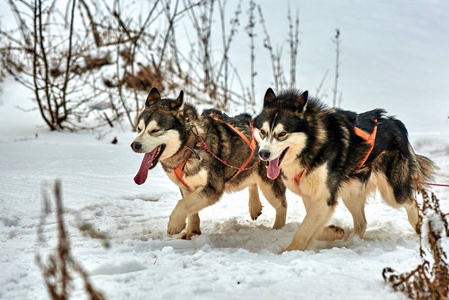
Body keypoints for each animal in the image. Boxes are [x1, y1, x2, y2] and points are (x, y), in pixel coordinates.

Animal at [130, 87, 286, 239]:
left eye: (155, 130)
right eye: (139, 129)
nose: (134, 145)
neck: (191, 145)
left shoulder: (213, 188)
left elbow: (182, 204)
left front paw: (175, 224)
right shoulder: (186, 187)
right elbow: (190, 209)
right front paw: (192, 232)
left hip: (269, 183)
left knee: (282, 205)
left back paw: (278, 229)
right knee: (252, 183)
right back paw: (254, 206)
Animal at [254, 88, 436, 252]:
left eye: (282, 133)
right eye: (263, 132)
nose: (263, 153)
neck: (311, 145)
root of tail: (394, 121)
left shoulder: (324, 197)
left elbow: (303, 230)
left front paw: (288, 252)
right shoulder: (311, 195)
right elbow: (312, 224)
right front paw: (334, 232)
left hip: (392, 193)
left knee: (411, 202)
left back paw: (420, 227)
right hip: (352, 191)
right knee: (362, 223)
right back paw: (349, 241)